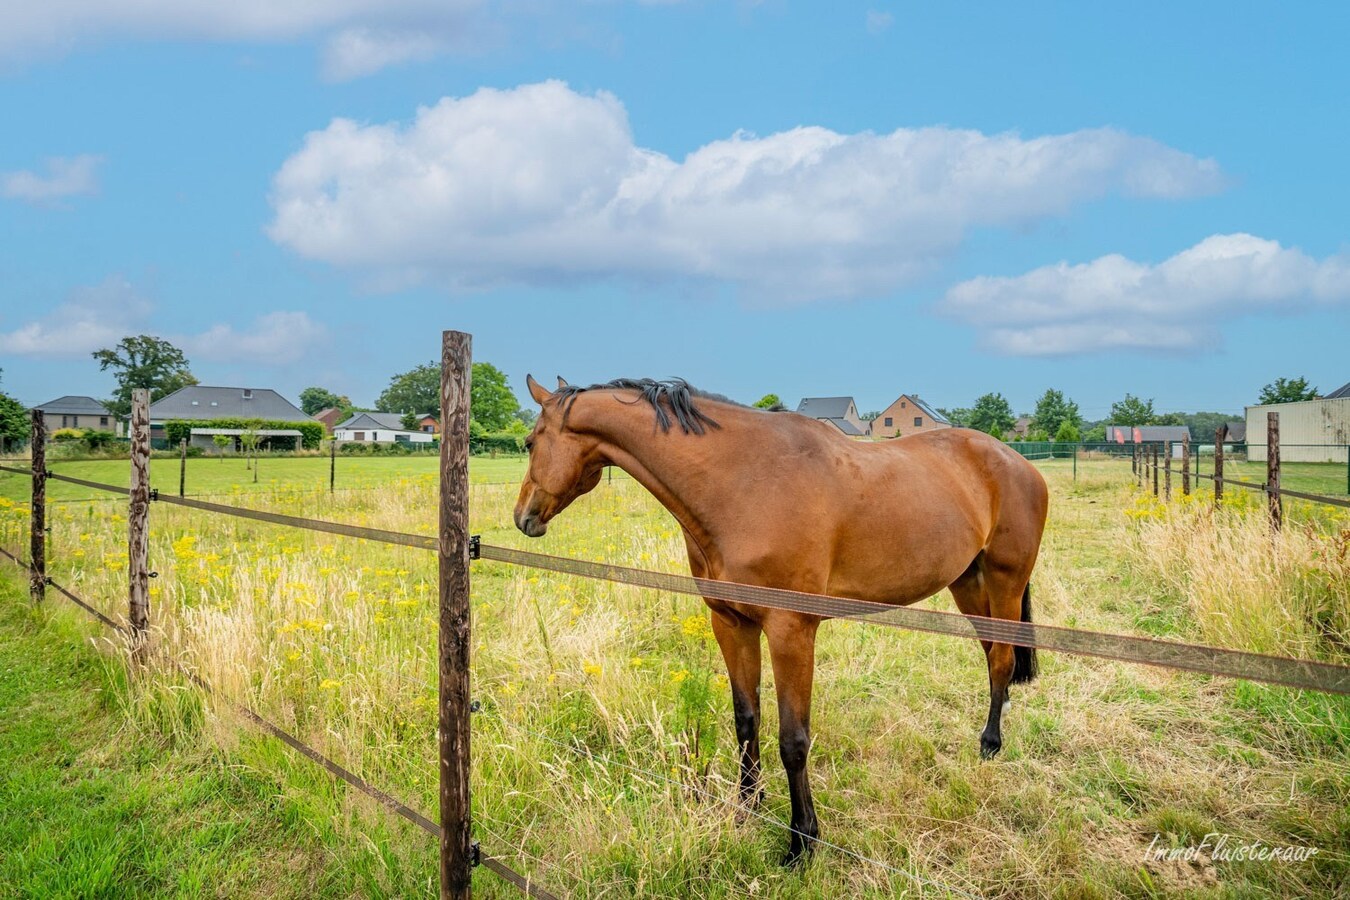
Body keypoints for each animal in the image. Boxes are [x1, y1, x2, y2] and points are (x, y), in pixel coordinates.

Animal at [510, 375, 1047, 863]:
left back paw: (990, 745)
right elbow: (746, 719)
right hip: (967, 582)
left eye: (529, 442)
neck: (744, 482)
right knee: (991, 657)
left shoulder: (791, 631)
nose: (523, 516)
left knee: (1002, 660)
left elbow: (794, 740)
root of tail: (1017, 462)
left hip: (1004, 581)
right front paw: (747, 808)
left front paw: (802, 841)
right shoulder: (731, 623)